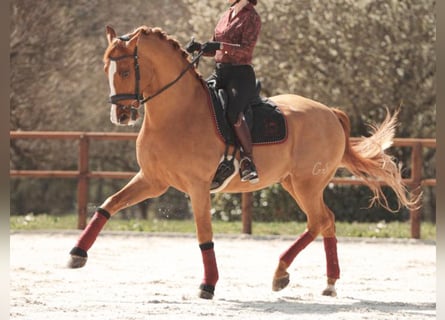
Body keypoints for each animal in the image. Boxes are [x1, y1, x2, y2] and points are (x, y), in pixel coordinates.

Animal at [67, 25, 416, 300]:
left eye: (126, 71)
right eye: (106, 70)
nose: (121, 115)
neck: (177, 114)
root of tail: (329, 112)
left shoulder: (197, 187)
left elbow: (204, 235)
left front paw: (208, 285)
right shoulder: (152, 180)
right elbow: (108, 205)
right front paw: (77, 253)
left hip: (307, 183)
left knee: (318, 221)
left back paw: (280, 273)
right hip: (293, 183)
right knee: (326, 220)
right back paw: (328, 283)